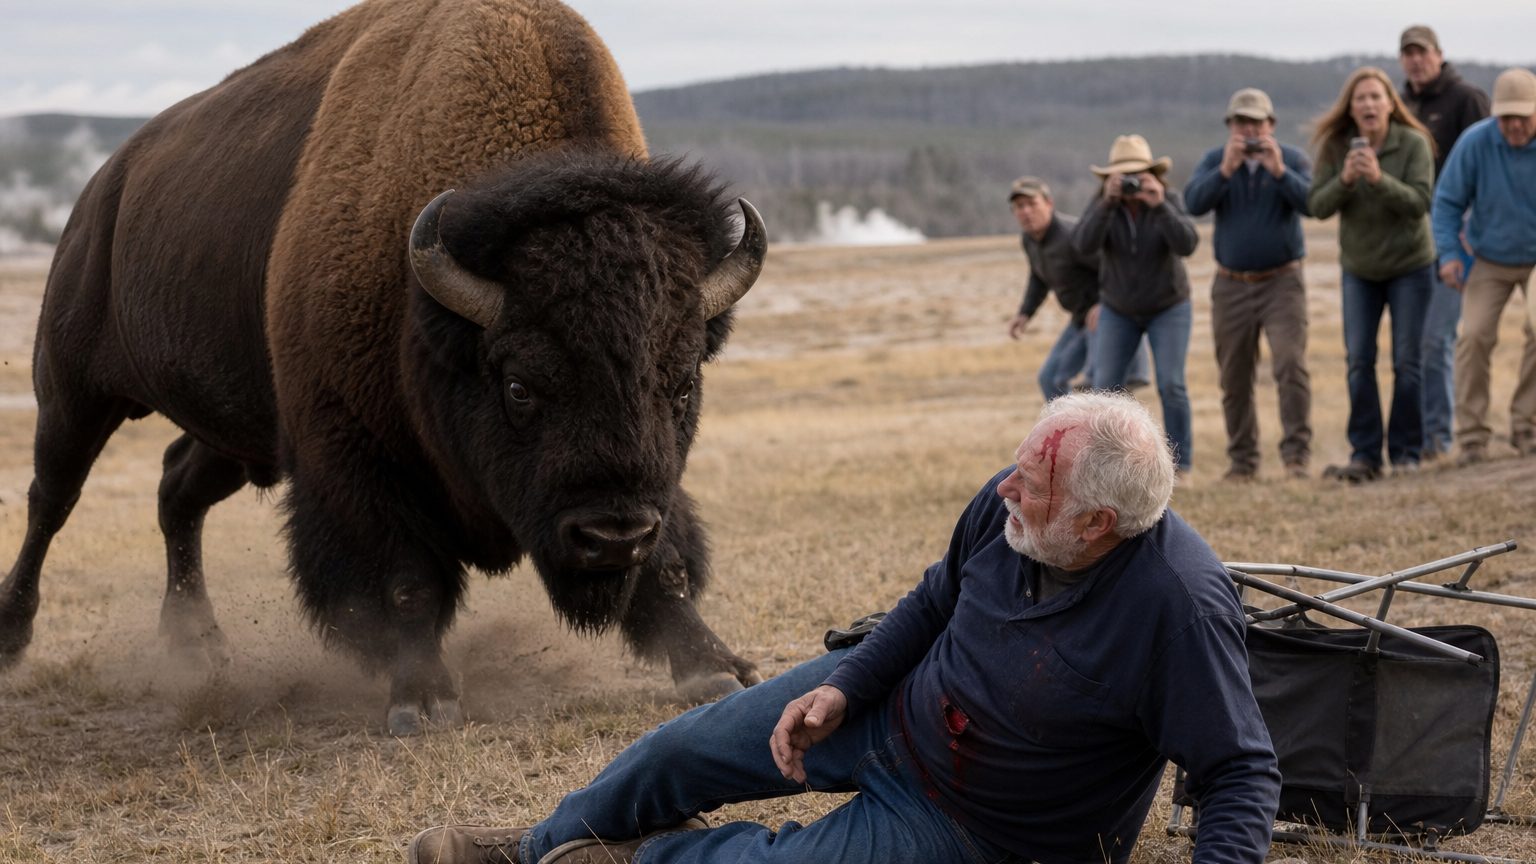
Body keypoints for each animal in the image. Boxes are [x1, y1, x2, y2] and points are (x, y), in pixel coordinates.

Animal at [0, 0, 766, 734]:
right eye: (519, 385)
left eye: (682, 385)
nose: (612, 536)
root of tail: (102, 188)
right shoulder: (354, 455)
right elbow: (405, 581)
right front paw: (421, 702)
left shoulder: (652, 487)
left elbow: (667, 565)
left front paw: (716, 668)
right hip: (73, 394)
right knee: (52, 500)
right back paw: (14, 638)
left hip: (239, 437)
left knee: (174, 490)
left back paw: (197, 645)